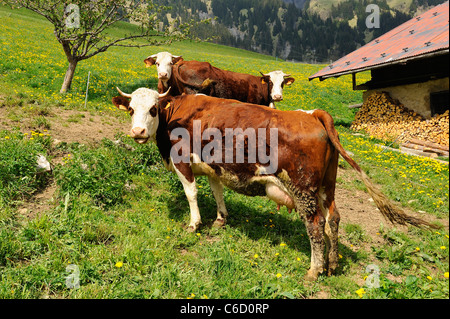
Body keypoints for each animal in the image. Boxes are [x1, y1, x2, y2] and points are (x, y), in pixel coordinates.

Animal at [111, 87, 436, 282]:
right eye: (131, 110)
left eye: (153, 109)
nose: (137, 132)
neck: (176, 114)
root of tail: (313, 114)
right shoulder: (215, 166)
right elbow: (217, 191)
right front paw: (220, 220)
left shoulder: (182, 163)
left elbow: (192, 193)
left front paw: (194, 224)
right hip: (326, 186)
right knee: (334, 219)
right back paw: (331, 264)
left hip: (304, 188)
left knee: (315, 225)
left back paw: (314, 269)